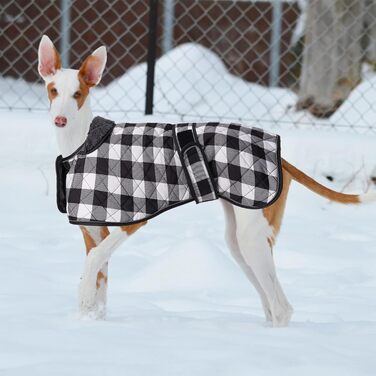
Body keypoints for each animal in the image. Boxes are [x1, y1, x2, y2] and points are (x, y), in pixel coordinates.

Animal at [39, 35, 376, 326]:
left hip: (252, 237)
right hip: (239, 243)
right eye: (53, 90)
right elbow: (98, 278)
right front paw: (90, 320)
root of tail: (280, 156)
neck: (85, 142)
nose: (60, 120)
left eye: (78, 94)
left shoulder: (132, 221)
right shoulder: (93, 232)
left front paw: (83, 300)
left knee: (281, 308)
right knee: (271, 305)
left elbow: (93, 264)